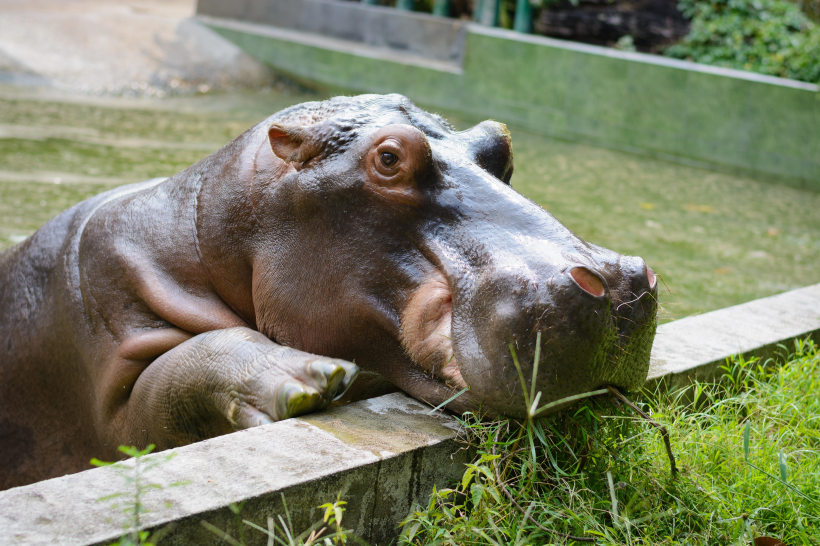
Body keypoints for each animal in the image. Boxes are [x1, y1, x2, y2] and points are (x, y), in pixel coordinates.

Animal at [0, 94, 656, 488]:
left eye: (501, 142)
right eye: (389, 158)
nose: (616, 285)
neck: (212, 230)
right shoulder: (110, 350)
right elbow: (167, 383)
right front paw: (310, 380)